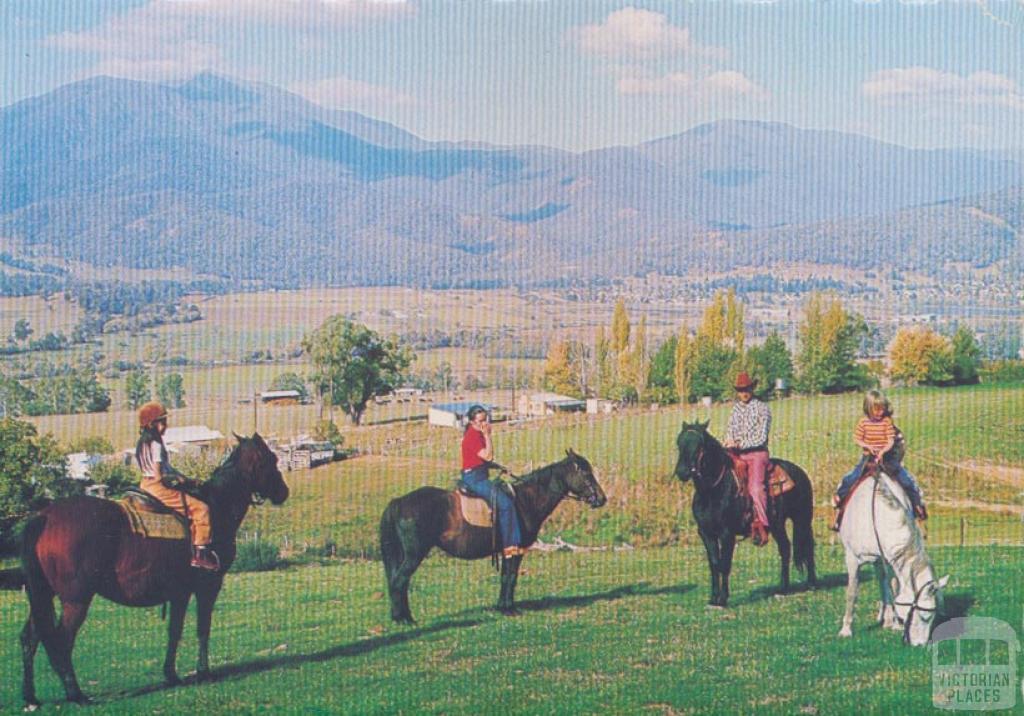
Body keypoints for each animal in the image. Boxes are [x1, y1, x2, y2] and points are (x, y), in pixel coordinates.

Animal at [14, 432, 288, 704]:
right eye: (271, 459)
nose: (283, 492)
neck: (217, 506)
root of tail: (45, 517)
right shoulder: (208, 586)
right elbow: (203, 628)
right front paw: (203, 672)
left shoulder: (180, 593)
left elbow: (174, 631)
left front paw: (171, 675)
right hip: (76, 600)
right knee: (62, 640)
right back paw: (76, 694)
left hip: (43, 595)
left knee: (31, 637)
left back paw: (31, 696)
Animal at [378, 450, 602, 622]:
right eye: (586, 473)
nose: (602, 498)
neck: (525, 500)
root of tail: (399, 502)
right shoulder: (516, 548)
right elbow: (510, 577)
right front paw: (509, 608)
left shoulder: (507, 550)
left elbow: (505, 577)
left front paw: (502, 607)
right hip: (414, 554)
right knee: (399, 581)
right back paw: (404, 619)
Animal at [671, 422, 815, 606]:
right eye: (679, 443)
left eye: (699, 445)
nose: (682, 471)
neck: (713, 490)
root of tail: (800, 472)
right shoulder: (706, 533)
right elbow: (714, 564)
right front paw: (713, 598)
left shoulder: (727, 534)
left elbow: (725, 564)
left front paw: (723, 599)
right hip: (778, 525)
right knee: (785, 548)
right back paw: (783, 588)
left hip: (802, 519)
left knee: (808, 547)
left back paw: (811, 583)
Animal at [835, 467, 946, 647]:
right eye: (925, 616)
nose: (920, 645)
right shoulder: (852, 559)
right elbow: (852, 592)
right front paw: (846, 630)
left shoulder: (889, 560)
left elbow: (893, 589)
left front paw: (894, 623)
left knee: (883, 583)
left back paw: (885, 617)